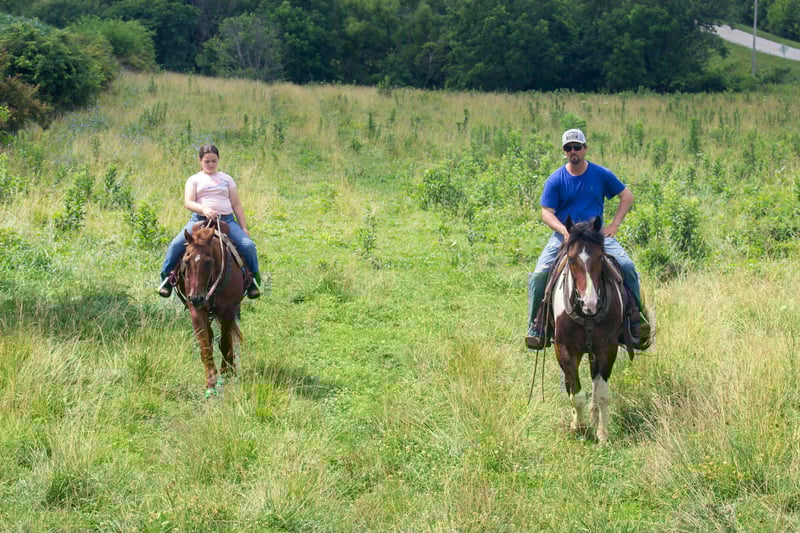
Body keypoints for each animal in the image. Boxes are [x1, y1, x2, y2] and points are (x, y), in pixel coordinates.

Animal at [177, 220, 247, 396]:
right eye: (186, 261)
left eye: (208, 262)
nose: (197, 298)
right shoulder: (196, 311)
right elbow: (205, 346)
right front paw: (211, 380)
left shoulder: (228, 310)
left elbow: (225, 342)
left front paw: (227, 372)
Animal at [550, 216, 630, 444]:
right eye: (571, 259)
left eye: (600, 257)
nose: (590, 303)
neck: (587, 315)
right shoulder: (565, 350)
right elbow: (576, 394)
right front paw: (579, 427)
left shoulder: (607, 348)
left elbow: (602, 393)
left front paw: (602, 434)